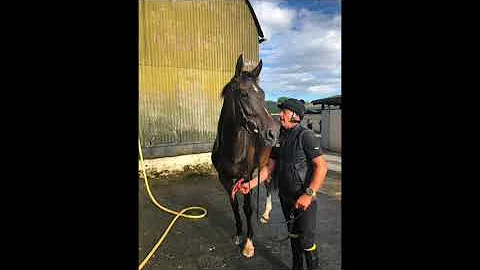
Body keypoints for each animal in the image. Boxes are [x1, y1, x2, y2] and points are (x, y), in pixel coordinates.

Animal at [211, 53, 282, 258]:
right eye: (244, 95)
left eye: (263, 94)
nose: (273, 133)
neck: (232, 149)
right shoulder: (225, 178)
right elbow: (234, 205)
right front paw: (237, 234)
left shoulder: (246, 177)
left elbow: (248, 209)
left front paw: (249, 244)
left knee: (268, 183)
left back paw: (265, 214)